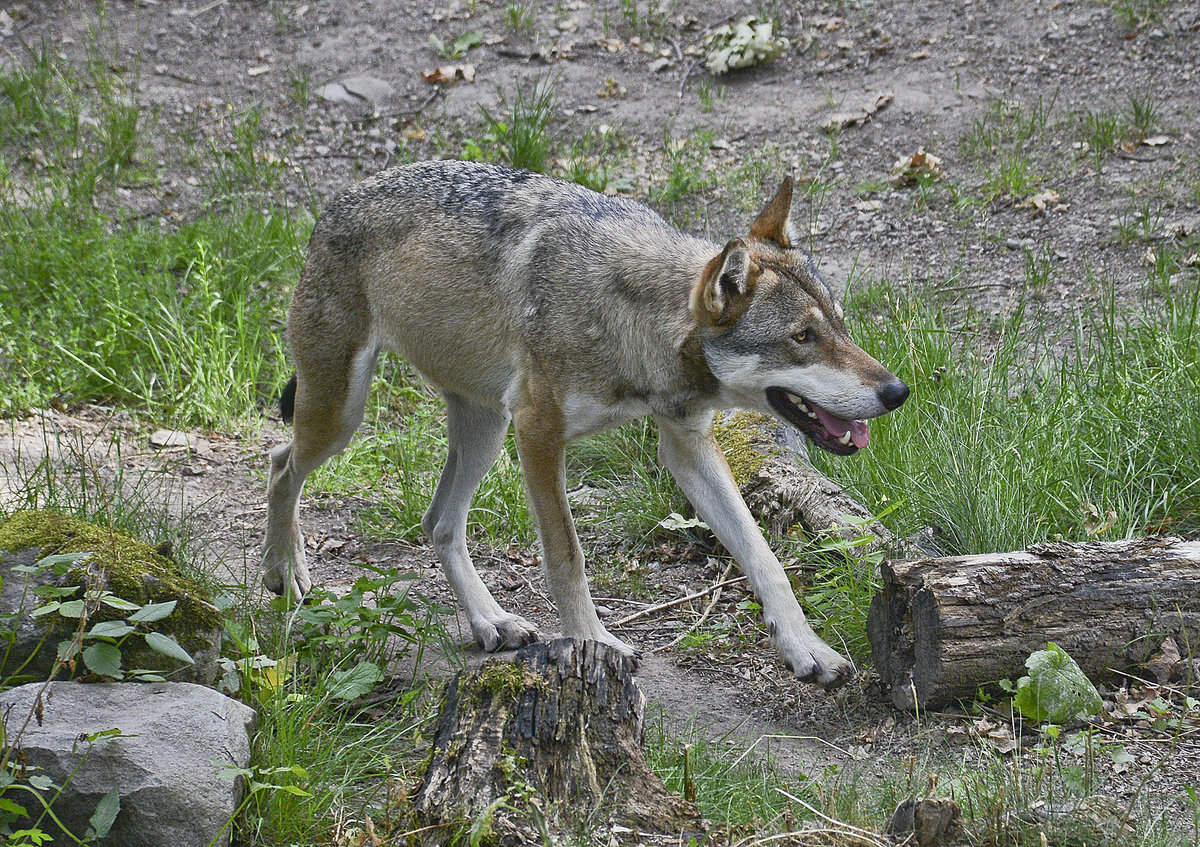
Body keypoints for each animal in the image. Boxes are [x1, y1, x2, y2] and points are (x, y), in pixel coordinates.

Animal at [260, 158, 902, 686]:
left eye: (839, 325)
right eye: (803, 338)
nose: (897, 392)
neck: (631, 320)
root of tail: (337, 201)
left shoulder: (687, 445)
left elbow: (764, 558)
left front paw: (806, 649)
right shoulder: (539, 434)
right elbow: (568, 556)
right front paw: (593, 643)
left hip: (485, 431)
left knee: (437, 521)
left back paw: (489, 621)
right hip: (345, 417)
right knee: (280, 464)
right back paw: (285, 571)